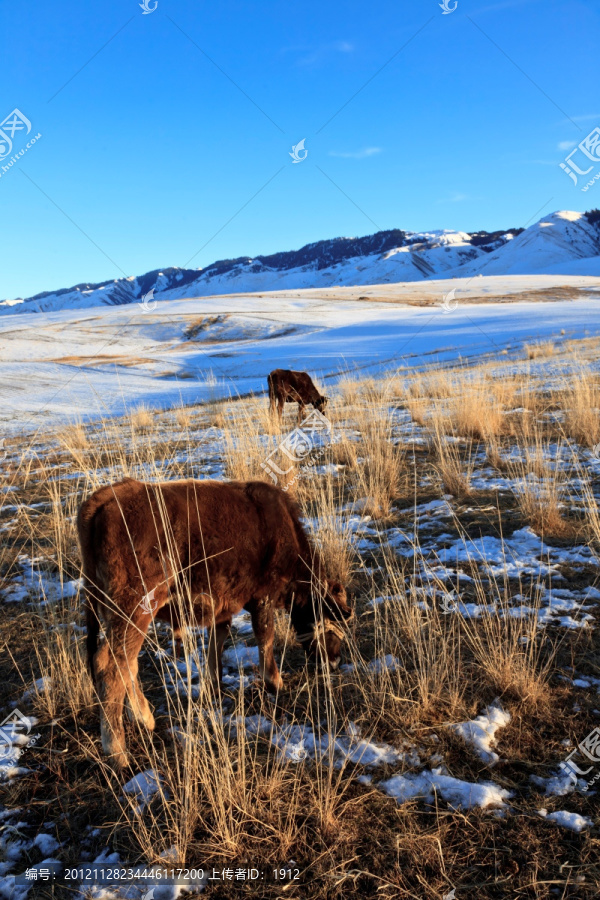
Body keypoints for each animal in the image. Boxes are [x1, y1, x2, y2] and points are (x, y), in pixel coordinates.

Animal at [78, 478, 352, 768]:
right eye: (335, 619)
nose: (335, 661)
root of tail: (105, 498)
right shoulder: (263, 598)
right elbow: (264, 637)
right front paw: (275, 682)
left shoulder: (222, 608)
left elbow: (217, 641)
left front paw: (214, 683)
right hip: (134, 610)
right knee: (111, 663)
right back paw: (117, 751)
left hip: (118, 615)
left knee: (127, 662)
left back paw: (144, 719)